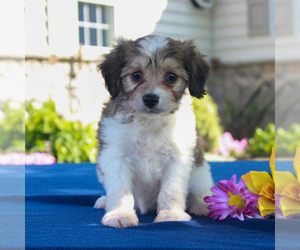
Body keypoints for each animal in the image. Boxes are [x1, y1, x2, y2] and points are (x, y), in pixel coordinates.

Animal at [95, 35, 214, 229]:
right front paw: (120, 214)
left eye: (171, 77)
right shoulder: (115, 155)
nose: (150, 99)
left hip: (200, 173)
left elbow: (171, 190)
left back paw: (202, 204)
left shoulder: (178, 158)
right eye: (136, 75)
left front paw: (171, 214)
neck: (149, 122)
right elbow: (120, 190)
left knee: (199, 191)